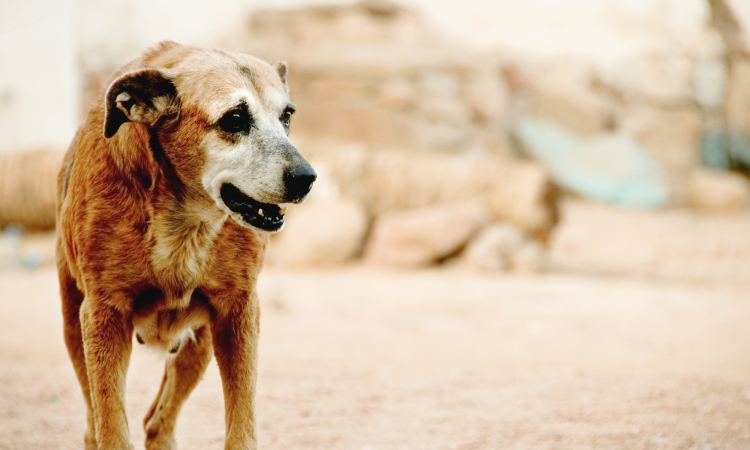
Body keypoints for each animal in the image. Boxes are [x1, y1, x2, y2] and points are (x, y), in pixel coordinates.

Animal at [56, 40, 318, 448]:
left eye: (287, 116)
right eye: (234, 119)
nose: (306, 177)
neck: (186, 223)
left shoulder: (239, 312)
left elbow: (241, 424)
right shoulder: (103, 317)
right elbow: (111, 427)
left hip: (200, 343)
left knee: (156, 422)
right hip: (74, 329)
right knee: (93, 424)